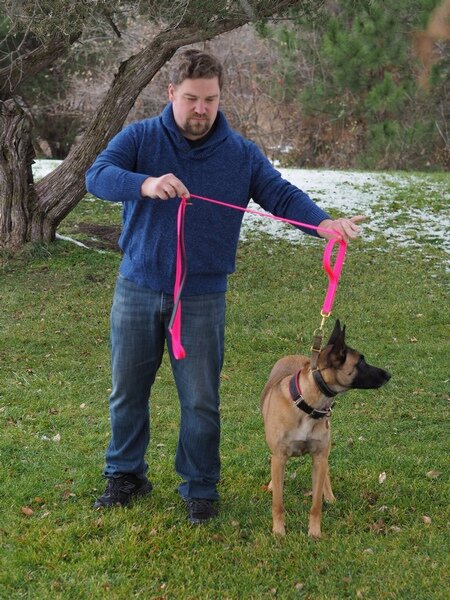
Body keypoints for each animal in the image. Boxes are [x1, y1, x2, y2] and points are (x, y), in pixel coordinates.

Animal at [260, 322, 390, 536]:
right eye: (360, 363)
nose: (389, 375)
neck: (307, 402)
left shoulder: (319, 457)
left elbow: (316, 504)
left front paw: (314, 532)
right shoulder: (279, 456)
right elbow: (278, 503)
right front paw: (279, 532)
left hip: (324, 451)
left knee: (326, 471)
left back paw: (329, 496)